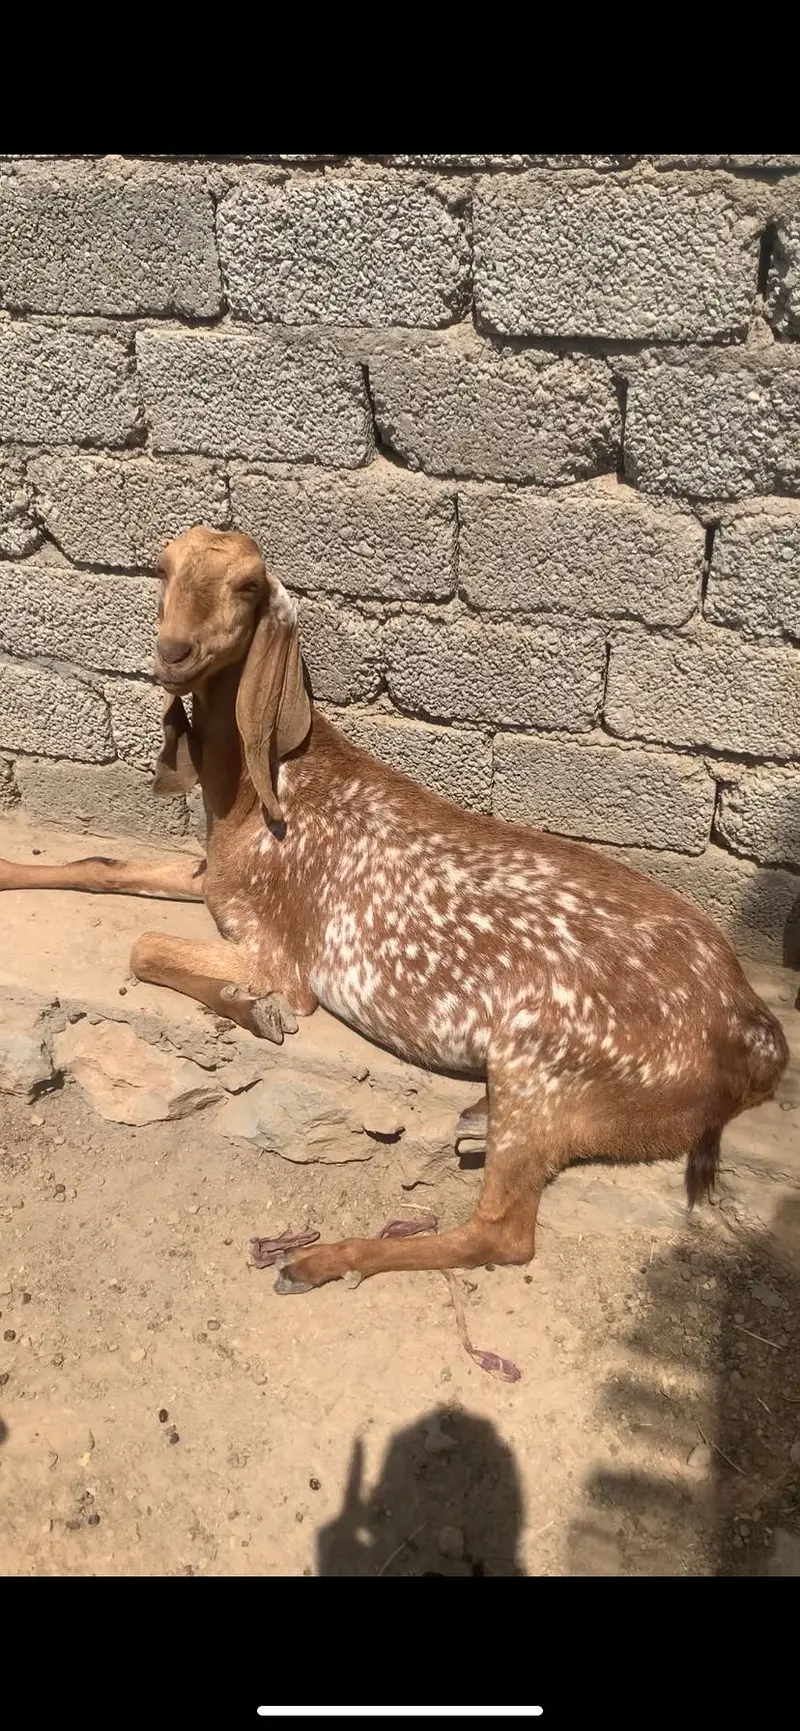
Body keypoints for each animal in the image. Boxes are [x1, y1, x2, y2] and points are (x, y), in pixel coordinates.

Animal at [0, 527, 789, 1295]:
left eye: (248, 585)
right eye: (162, 565)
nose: (173, 653)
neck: (260, 790)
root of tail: (751, 1028)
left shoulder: (282, 957)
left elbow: (147, 947)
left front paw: (254, 1009)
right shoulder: (214, 882)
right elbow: (102, 869)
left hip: (539, 1054)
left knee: (501, 1233)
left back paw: (319, 1259)